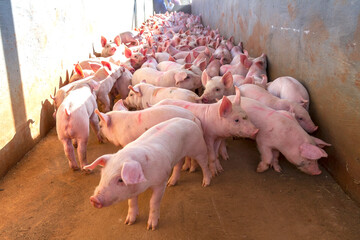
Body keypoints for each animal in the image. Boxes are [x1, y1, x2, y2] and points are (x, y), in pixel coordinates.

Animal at [83, 117, 212, 230]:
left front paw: (151, 227)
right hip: (179, 155)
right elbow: (131, 202)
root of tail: (190, 120)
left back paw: (205, 183)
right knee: (178, 164)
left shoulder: (161, 182)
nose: (94, 199)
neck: (145, 182)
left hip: (199, 148)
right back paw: (172, 183)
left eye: (120, 180)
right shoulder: (133, 188)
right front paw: (128, 222)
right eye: (103, 175)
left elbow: (153, 202)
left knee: (204, 164)